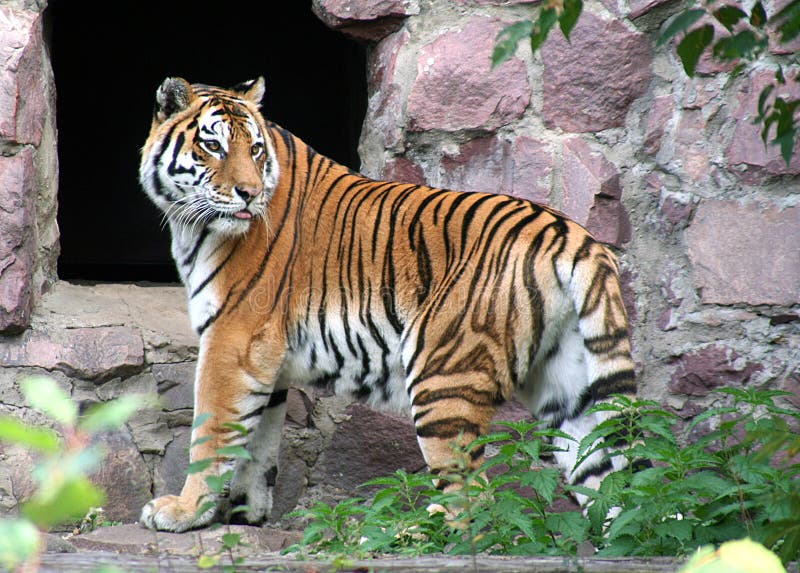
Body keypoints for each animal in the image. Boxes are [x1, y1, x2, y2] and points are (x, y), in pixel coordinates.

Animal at [139, 77, 636, 532]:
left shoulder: (234, 339)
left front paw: (183, 511)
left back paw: (414, 533)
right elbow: (257, 444)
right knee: (614, 486)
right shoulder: (263, 359)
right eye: (213, 146)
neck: (193, 227)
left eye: (256, 150)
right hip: (572, 392)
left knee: (472, 506)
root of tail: (571, 234)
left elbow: (212, 433)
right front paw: (245, 514)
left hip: (443, 376)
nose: (249, 193)